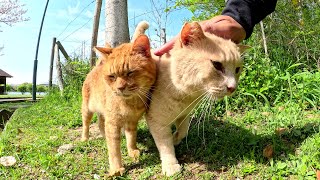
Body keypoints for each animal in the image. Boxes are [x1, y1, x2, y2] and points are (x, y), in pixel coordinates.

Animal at [81, 31, 156, 175]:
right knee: (86, 125)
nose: (120, 88)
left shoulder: (131, 121)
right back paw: (84, 139)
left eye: (130, 73)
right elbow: (114, 149)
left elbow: (131, 137)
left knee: (100, 124)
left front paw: (132, 150)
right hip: (87, 109)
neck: (131, 103)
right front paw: (116, 168)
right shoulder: (113, 123)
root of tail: (96, 67)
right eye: (112, 76)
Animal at [147, 21, 245, 176]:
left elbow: (183, 131)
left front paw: (175, 139)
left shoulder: (184, 115)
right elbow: (165, 146)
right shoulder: (157, 122)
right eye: (217, 65)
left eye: (237, 69)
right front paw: (171, 165)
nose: (233, 87)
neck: (186, 97)